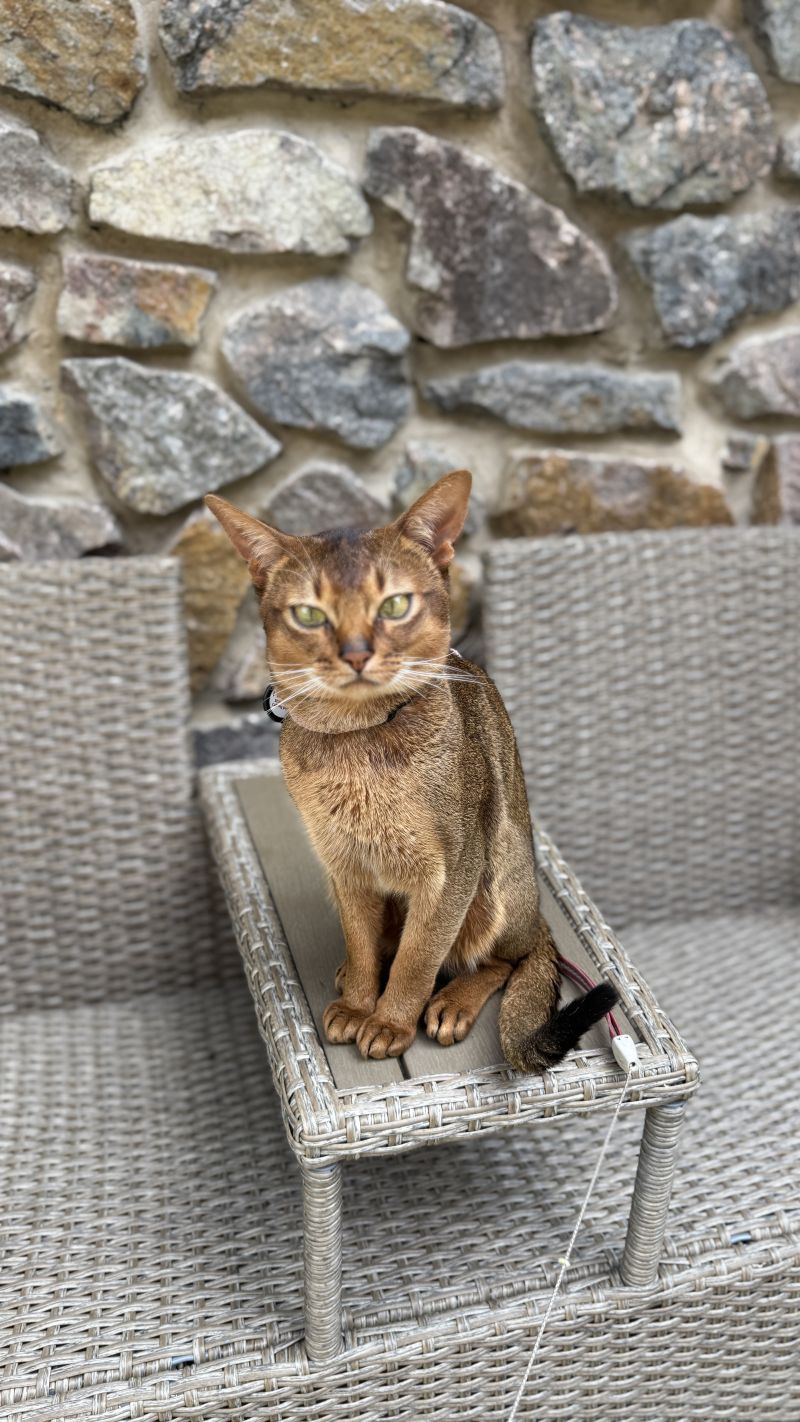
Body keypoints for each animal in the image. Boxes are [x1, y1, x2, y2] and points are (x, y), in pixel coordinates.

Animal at [206, 471, 616, 1069]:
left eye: (395, 605)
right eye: (309, 614)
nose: (356, 654)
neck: (358, 746)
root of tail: (539, 915)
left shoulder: (451, 870)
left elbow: (420, 956)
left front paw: (390, 1021)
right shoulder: (345, 864)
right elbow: (361, 938)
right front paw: (360, 1002)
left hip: (497, 879)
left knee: (505, 959)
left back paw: (453, 1003)